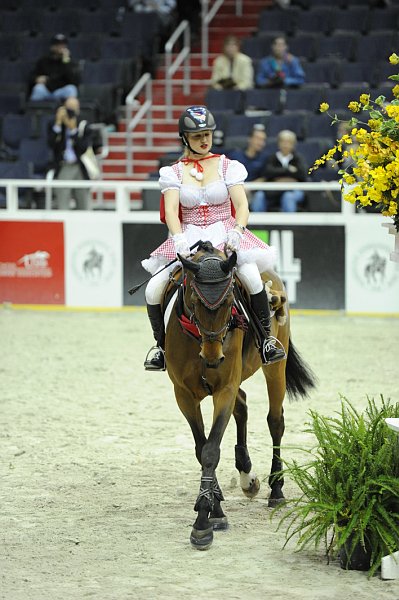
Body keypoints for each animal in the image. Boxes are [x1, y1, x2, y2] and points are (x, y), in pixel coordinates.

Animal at [162, 241, 316, 552]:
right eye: (194, 300)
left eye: (228, 300)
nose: (213, 358)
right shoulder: (184, 395)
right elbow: (201, 449)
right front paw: (214, 509)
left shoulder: (224, 390)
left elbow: (211, 450)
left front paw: (203, 522)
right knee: (243, 406)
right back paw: (247, 476)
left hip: (274, 368)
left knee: (275, 421)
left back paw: (276, 490)